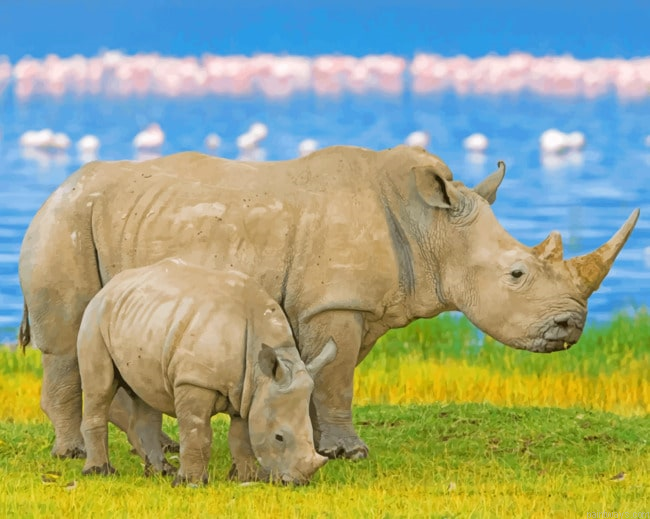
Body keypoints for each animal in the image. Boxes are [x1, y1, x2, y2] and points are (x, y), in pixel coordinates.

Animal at [18, 144, 639, 461]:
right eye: (517, 273)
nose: (571, 326)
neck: (431, 228)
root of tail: (52, 190)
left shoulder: (351, 306)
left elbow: (328, 375)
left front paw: (317, 444)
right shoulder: (334, 303)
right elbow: (338, 379)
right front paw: (350, 453)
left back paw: (163, 449)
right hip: (64, 223)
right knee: (68, 344)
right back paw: (70, 455)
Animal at [77, 258, 331, 485]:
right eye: (279, 438)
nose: (297, 482)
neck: (261, 372)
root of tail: (110, 285)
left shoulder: (248, 390)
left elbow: (241, 436)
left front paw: (247, 478)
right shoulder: (195, 380)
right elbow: (197, 431)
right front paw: (190, 483)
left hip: (141, 319)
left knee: (145, 393)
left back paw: (161, 472)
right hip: (95, 317)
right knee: (99, 388)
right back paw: (100, 472)